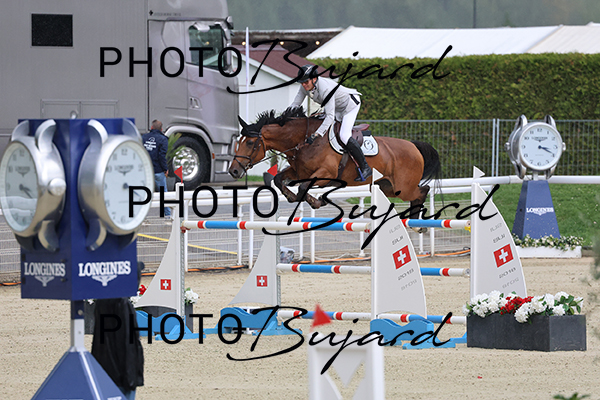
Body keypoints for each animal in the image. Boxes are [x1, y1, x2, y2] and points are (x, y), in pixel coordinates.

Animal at [229, 107, 441, 219]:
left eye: (249, 143)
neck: (305, 141)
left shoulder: (326, 174)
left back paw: (417, 224)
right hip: (387, 186)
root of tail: (413, 146)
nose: (233, 171)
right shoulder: (298, 172)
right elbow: (279, 179)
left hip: (402, 188)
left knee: (422, 191)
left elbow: (304, 187)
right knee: (417, 192)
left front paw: (317, 201)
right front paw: (292, 197)